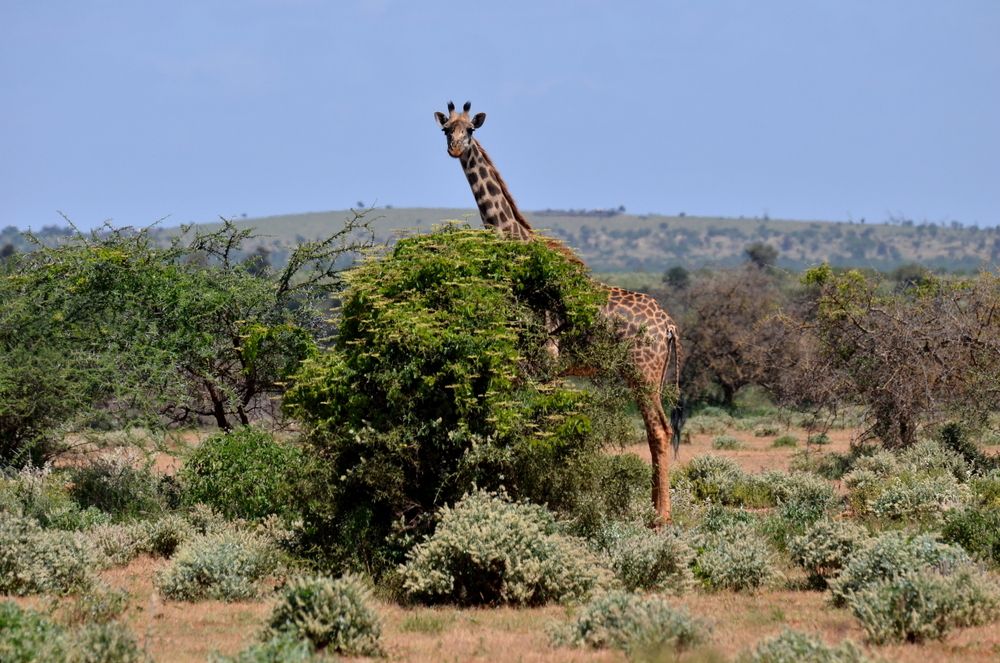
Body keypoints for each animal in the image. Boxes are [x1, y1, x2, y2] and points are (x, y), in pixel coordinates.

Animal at [434, 101, 684, 524]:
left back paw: (660, 518)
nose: (454, 149)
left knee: (659, 431)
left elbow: (542, 423)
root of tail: (669, 327)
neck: (518, 246)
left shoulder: (546, 358)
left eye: (470, 130)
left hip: (643, 373)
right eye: (445, 129)